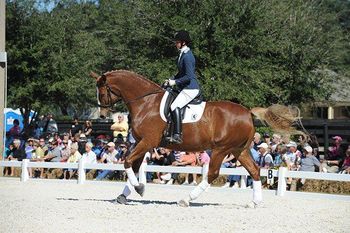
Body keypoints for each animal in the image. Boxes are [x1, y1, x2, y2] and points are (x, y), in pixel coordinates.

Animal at [91, 69, 300, 208]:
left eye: (102, 91)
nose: (101, 115)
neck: (145, 102)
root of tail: (248, 113)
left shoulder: (148, 142)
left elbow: (127, 161)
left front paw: (139, 188)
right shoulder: (142, 143)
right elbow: (133, 166)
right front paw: (125, 195)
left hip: (221, 149)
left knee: (212, 174)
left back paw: (186, 199)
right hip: (239, 150)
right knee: (255, 170)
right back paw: (255, 202)